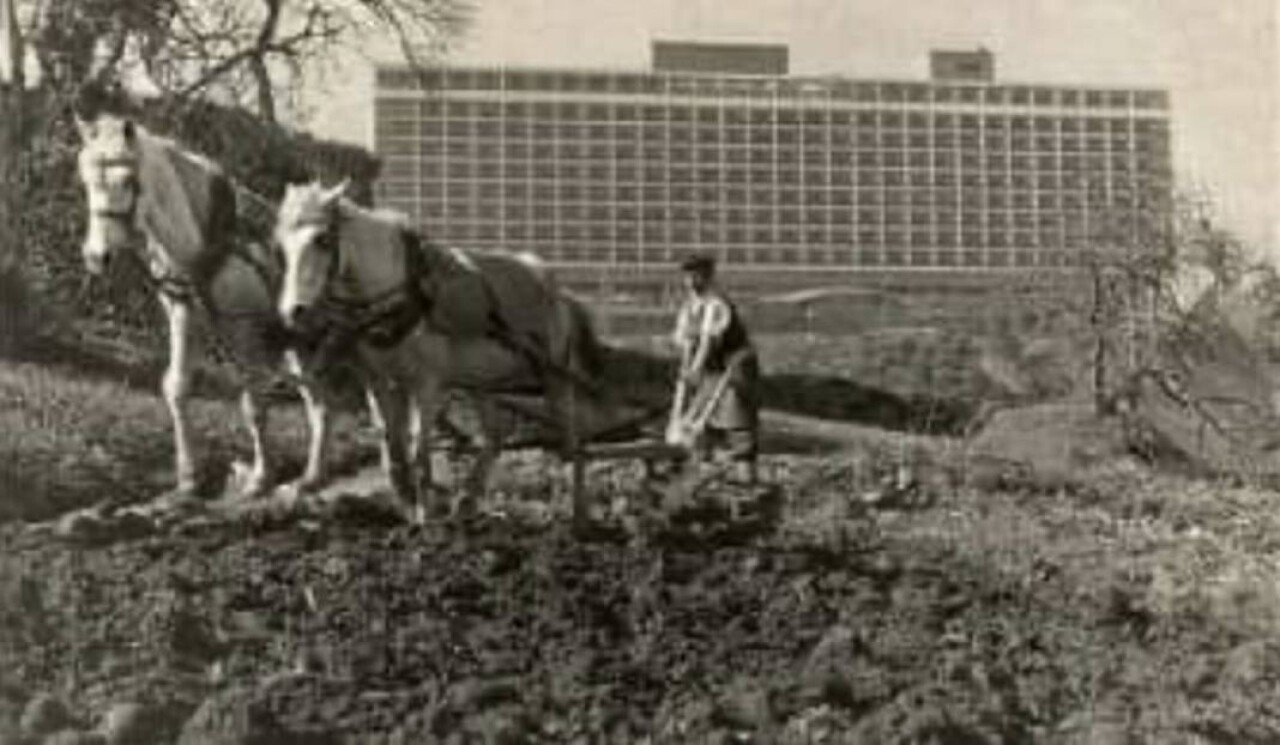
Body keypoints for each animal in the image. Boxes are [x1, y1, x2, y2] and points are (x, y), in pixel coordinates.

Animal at [74, 106, 335, 501]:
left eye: (127, 180)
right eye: (86, 180)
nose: (96, 256)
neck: (206, 240)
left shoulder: (242, 328)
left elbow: (254, 403)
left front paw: (260, 478)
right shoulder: (183, 312)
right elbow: (177, 387)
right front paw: (188, 478)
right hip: (297, 338)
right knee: (317, 396)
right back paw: (311, 477)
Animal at [275, 181, 619, 532]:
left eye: (322, 239)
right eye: (282, 246)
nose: (293, 311)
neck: (400, 293)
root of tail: (561, 294)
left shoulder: (426, 383)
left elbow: (418, 452)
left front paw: (425, 520)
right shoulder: (380, 381)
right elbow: (392, 448)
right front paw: (408, 509)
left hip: (555, 376)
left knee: (574, 445)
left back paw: (579, 518)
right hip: (481, 382)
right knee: (495, 436)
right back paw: (467, 501)